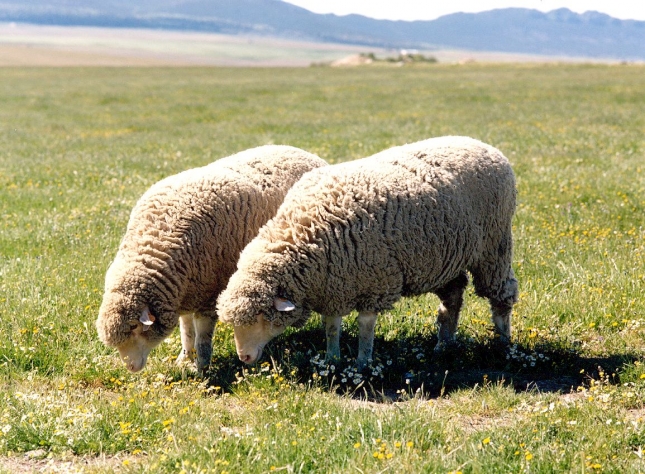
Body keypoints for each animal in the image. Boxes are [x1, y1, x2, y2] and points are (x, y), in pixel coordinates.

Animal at [95, 144, 328, 374]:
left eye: (136, 327)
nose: (131, 368)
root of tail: (303, 152)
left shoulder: (209, 295)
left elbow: (202, 339)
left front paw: (201, 368)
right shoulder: (186, 294)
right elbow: (186, 331)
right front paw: (184, 358)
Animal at [216, 135, 520, 368]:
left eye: (261, 318)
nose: (244, 358)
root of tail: (483, 145)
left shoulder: (375, 280)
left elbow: (365, 327)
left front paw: (363, 362)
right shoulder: (334, 284)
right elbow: (332, 326)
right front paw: (332, 359)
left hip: (494, 247)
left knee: (501, 295)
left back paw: (503, 344)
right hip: (447, 258)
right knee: (453, 298)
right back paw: (443, 345)